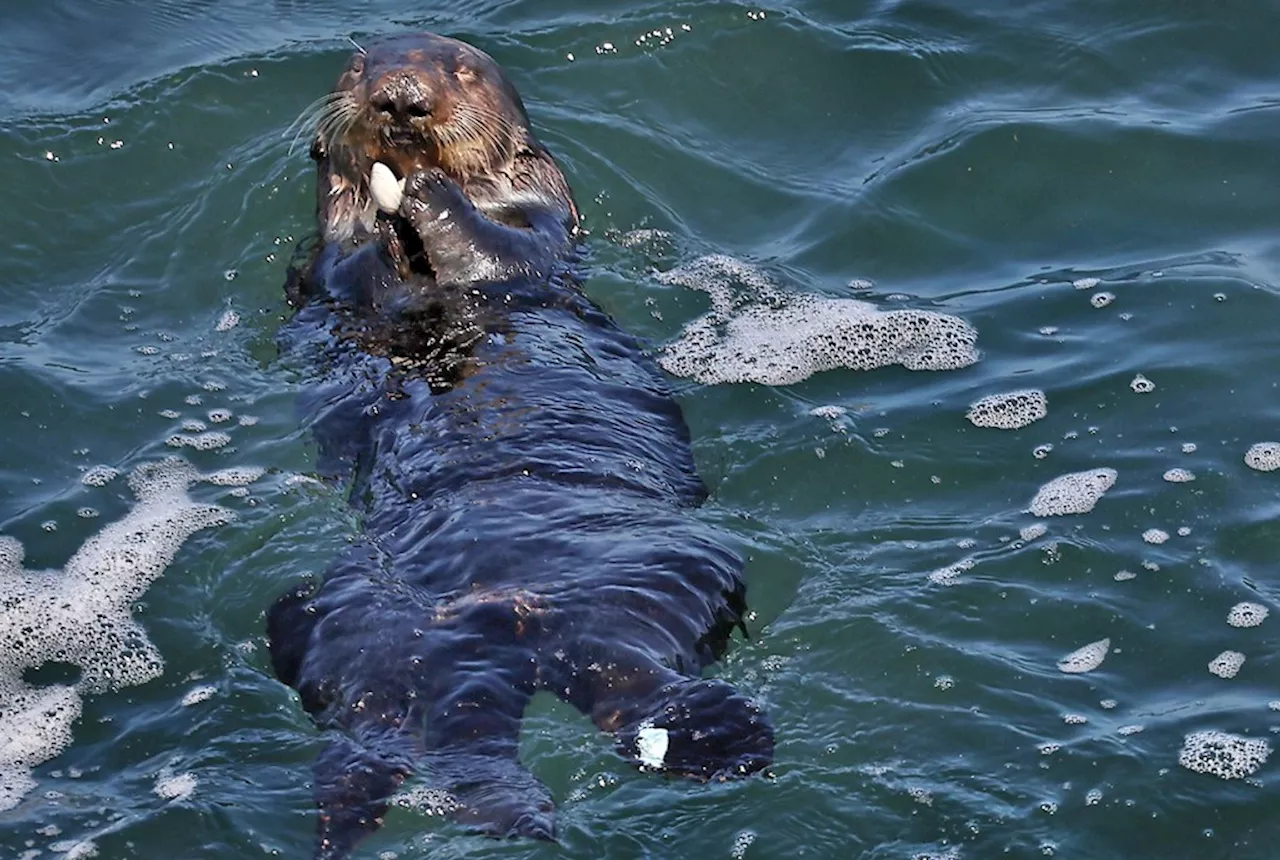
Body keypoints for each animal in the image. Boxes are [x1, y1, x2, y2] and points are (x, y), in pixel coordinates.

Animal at [267, 33, 768, 860]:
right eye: (360, 67)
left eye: (461, 70)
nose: (400, 97)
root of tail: (497, 630)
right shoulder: (326, 270)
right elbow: (345, 267)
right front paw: (380, 213)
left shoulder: (541, 222)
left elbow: (503, 250)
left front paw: (426, 191)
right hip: (337, 625)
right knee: (377, 720)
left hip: (656, 582)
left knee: (626, 680)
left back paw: (716, 744)